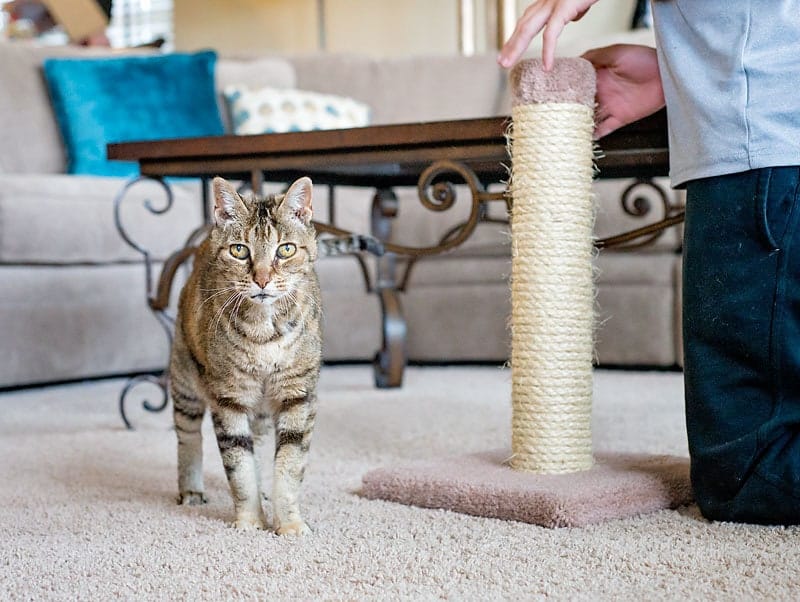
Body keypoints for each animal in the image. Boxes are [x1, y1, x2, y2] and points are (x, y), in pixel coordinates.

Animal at [170, 175, 322, 536]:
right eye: (240, 250)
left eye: (286, 249)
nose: (262, 279)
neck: (265, 333)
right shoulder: (230, 396)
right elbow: (239, 468)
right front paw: (250, 521)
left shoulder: (297, 395)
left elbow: (288, 466)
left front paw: (289, 523)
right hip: (184, 381)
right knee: (188, 437)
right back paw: (191, 490)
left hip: (263, 412)